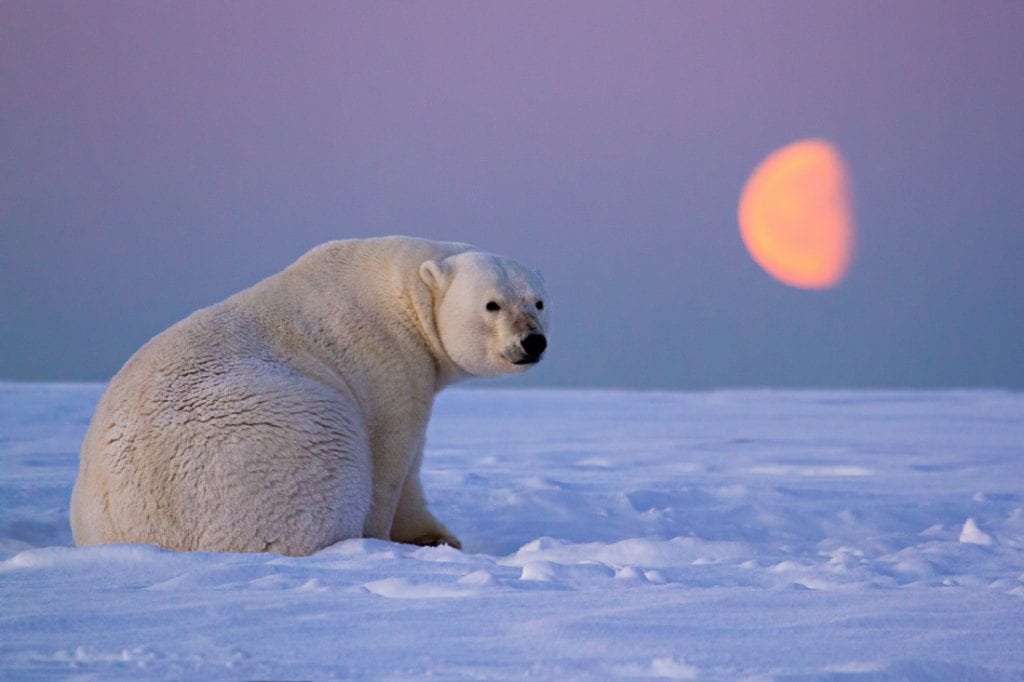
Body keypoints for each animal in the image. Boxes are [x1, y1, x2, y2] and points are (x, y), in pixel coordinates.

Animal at [70, 236, 552, 557]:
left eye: (539, 301)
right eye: (492, 304)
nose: (533, 342)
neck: (403, 288)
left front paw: (436, 537)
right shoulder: (388, 362)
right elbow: (392, 461)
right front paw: (393, 539)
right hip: (285, 439)